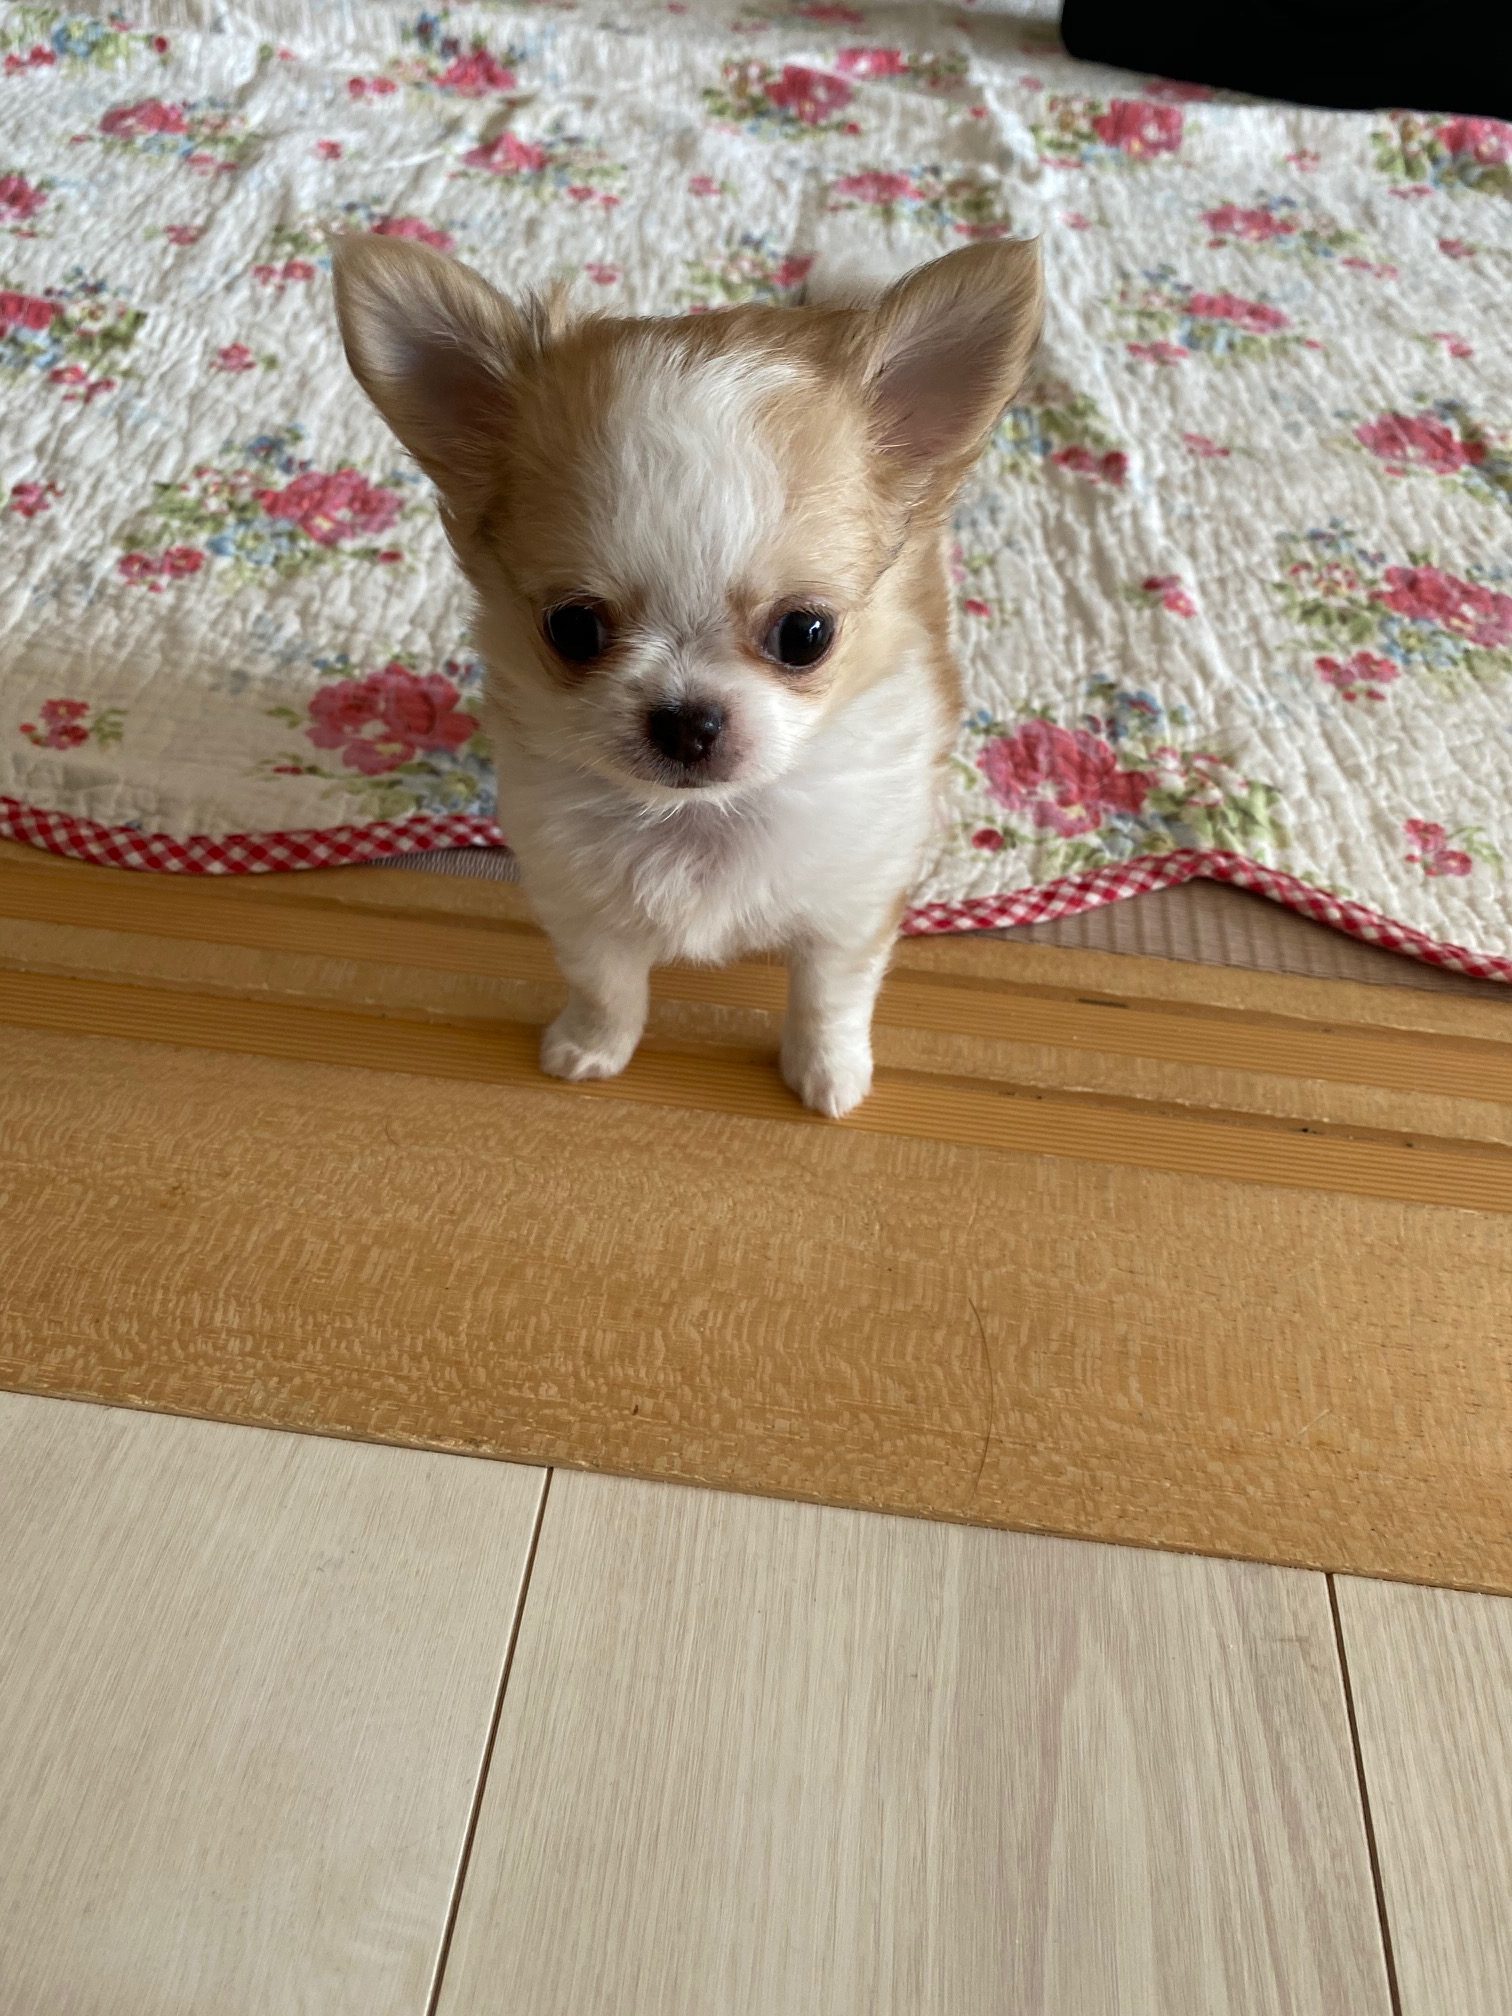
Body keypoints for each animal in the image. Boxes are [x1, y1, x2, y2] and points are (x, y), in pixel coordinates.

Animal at [332, 239, 1040, 1120]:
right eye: (573, 628)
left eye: (805, 635)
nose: (687, 718)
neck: (700, 823)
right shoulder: (583, 907)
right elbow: (608, 988)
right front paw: (591, 1047)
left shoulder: (847, 909)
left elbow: (828, 999)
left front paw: (828, 1074)